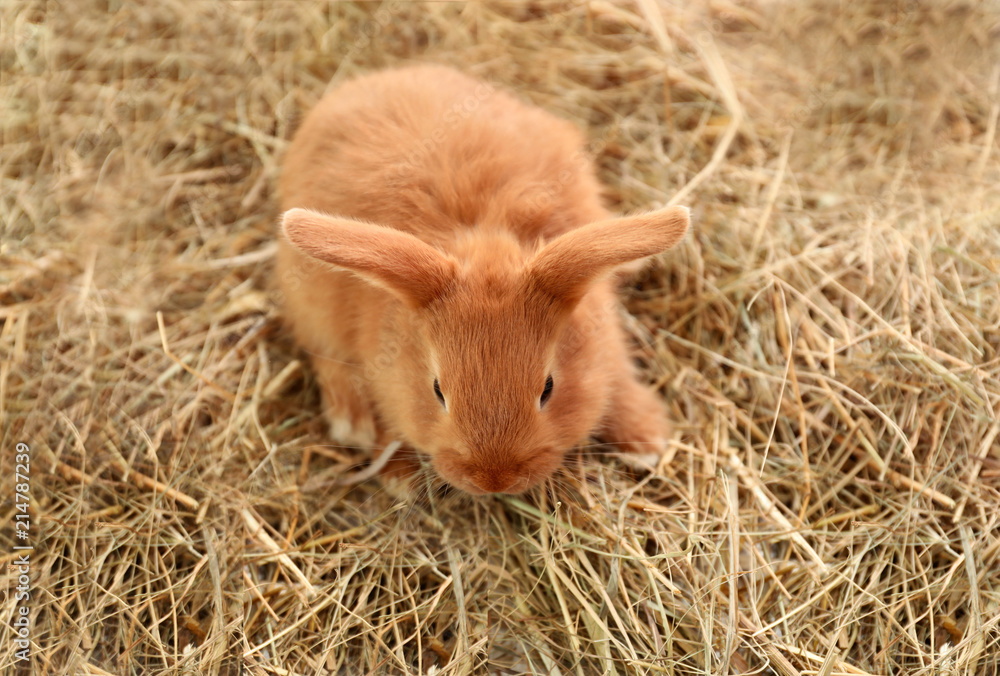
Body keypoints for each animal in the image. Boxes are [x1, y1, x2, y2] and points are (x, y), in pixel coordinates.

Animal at [278, 66, 692, 494]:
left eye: (548, 388)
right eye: (437, 390)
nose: (494, 480)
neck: (486, 238)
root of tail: (384, 76)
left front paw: (647, 439)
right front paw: (397, 477)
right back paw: (352, 421)